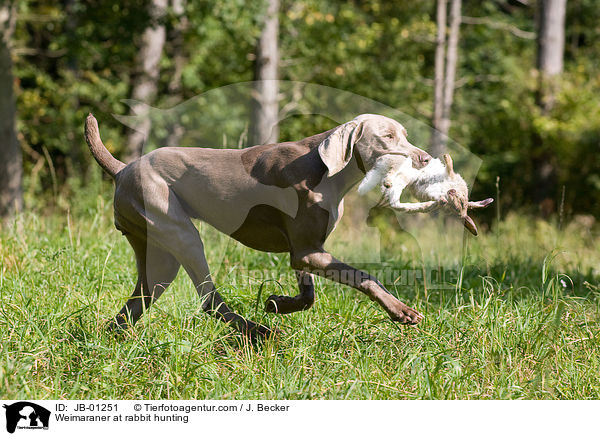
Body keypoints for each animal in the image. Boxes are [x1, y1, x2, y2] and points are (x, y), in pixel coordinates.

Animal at [84, 112, 488, 338]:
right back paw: (258, 333)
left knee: (135, 304)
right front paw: (400, 311)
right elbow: (365, 277)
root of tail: (122, 169)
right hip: (180, 232)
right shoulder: (309, 250)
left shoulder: (304, 252)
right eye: (387, 137)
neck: (328, 173)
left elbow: (308, 296)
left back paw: (108, 343)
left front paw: (278, 303)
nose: (424, 160)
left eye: (403, 134)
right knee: (209, 300)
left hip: (157, 256)